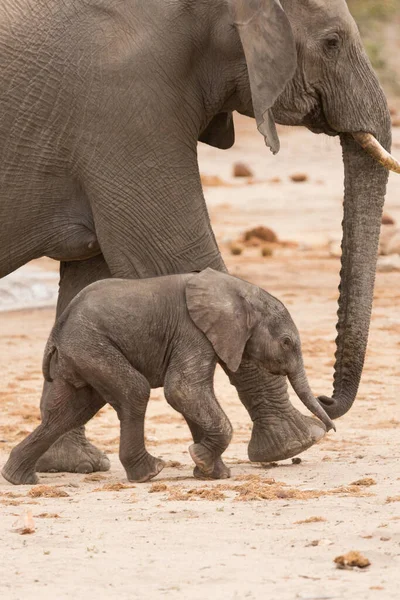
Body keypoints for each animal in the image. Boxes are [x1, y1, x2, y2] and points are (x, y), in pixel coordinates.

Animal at [2, 270, 334, 486]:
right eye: (287, 342)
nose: (330, 427)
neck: (237, 290)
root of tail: (58, 330)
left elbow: (193, 397)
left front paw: (211, 472)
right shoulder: (192, 332)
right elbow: (184, 390)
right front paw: (203, 461)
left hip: (81, 355)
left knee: (70, 412)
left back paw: (19, 478)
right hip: (90, 345)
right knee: (133, 391)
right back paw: (150, 472)